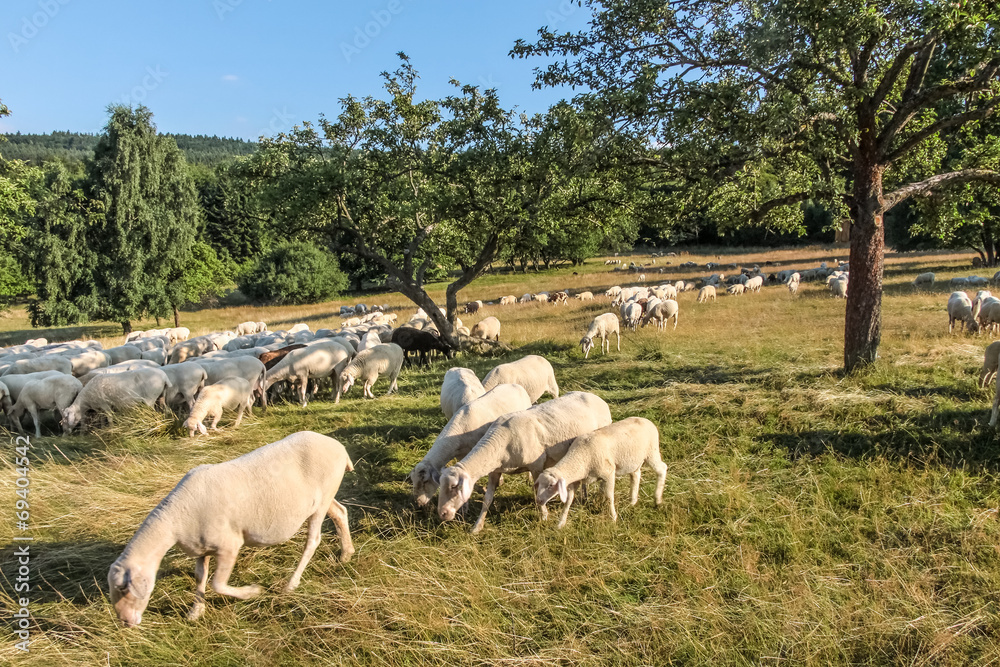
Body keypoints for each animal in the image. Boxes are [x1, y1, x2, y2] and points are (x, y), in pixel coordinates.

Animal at [106, 430, 352, 628]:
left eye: (123, 588)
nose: (125, 622)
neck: (174, 521)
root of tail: (338, 446)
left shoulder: (229, 545)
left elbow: (217, 584)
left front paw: (252, 592)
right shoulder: (202, 548)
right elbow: (200, 577)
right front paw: (196, 611)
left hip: (322, 499)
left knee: (313, 540)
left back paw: (291, 584)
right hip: (323, 499)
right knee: (340, 512)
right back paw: (346, 553)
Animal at [436, 392, 608, 532]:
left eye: (454, 486)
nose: (442, 514)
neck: (499, 444)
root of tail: (596, 397)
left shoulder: (537, 466)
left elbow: (538, 493)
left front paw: (544, 516)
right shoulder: (495, 472)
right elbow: (487, 499)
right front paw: (477, 527)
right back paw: (584, 496)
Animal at [536, 418, 668, 532]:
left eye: (551, 485)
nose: (538, 500)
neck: (580, 456)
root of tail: (646, 420)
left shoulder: (608, 473)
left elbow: (609, 496)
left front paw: (613, 517)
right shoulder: (575, 481)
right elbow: (568, 501)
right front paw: (560, 524)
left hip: (652, 452)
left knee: (662, 469)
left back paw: (657, 499)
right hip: (633, 460)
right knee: (635, 475)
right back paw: (632, 501)